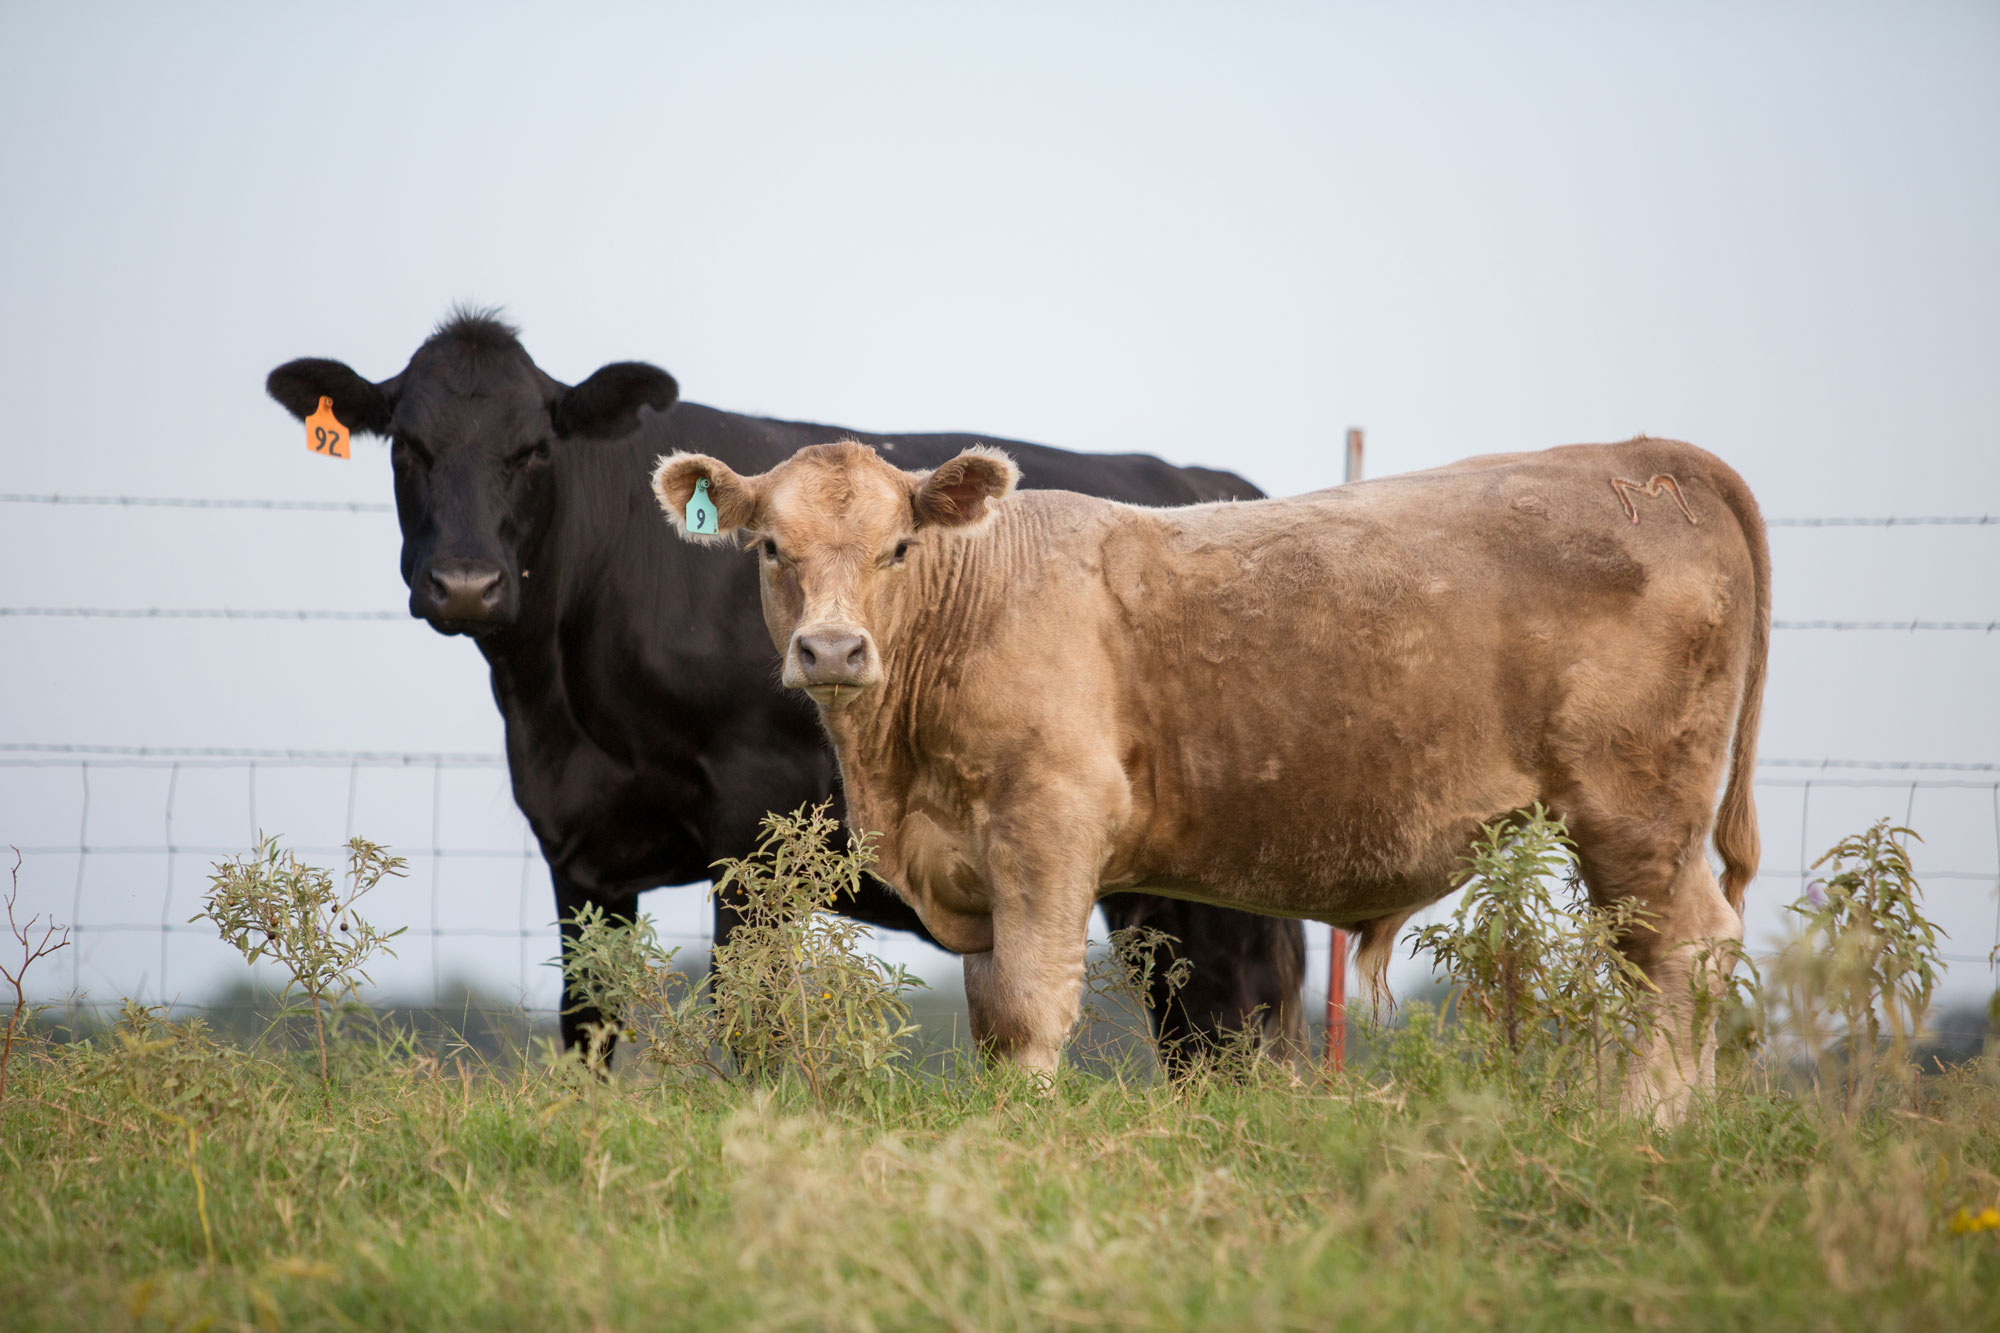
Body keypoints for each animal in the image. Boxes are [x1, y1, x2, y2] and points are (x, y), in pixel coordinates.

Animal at [265, 310, 1305, 1069]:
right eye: (406, 444)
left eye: (533, 448)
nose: (466, 584)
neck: (561, 702)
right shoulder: (577, 847)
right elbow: (588, 1021)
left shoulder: (755, 830)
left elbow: (750, 1015)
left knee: (1238, 1014)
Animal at [652, 436, 1770, 1118]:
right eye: (769, 546)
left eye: (896, 546)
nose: (833, 650)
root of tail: (1640, 459)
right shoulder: (975, 860)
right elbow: (990, 1012)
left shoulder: (1049, 820)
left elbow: (1031, 1004)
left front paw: (1020, 1132)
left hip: (1635, 806)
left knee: (1686, 950)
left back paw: (1650, 1122)